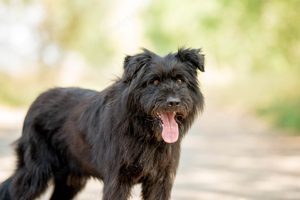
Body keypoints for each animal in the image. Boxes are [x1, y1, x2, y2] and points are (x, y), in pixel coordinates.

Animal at [0, 47, 204, 199]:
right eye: (154, 82)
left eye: (180, 80)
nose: (174, 102)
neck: (143, 132)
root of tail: (36, 100)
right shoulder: (117, 181)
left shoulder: (159, 182)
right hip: (34, 172)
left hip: (70, 180)